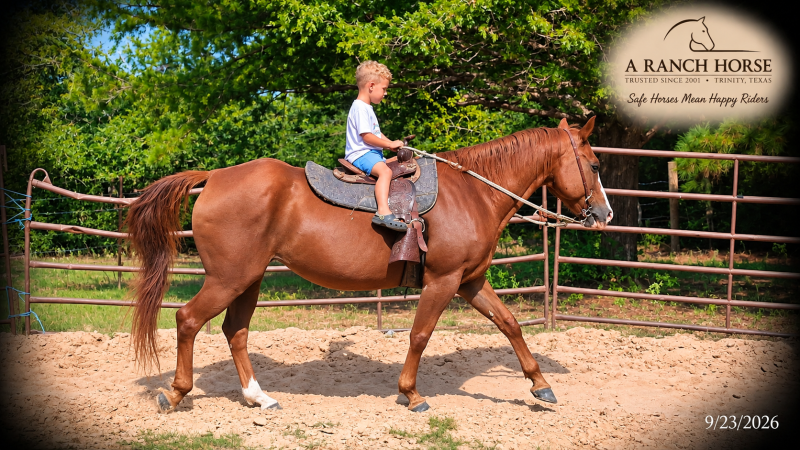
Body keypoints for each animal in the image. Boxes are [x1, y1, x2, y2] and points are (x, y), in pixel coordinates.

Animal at [125, 117, 613, 413]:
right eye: (593, 164)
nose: (605, 214)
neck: (473, 193)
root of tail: (215, 177)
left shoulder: (470, 281)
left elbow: (510, 324)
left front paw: (540, 384)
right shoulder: (444, 281)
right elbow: (419, 335)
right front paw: (411, 394)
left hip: (249, 279)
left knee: (235, 332)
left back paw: (258, 397)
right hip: (229, 278)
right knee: (189, 320)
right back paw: (175, 393)